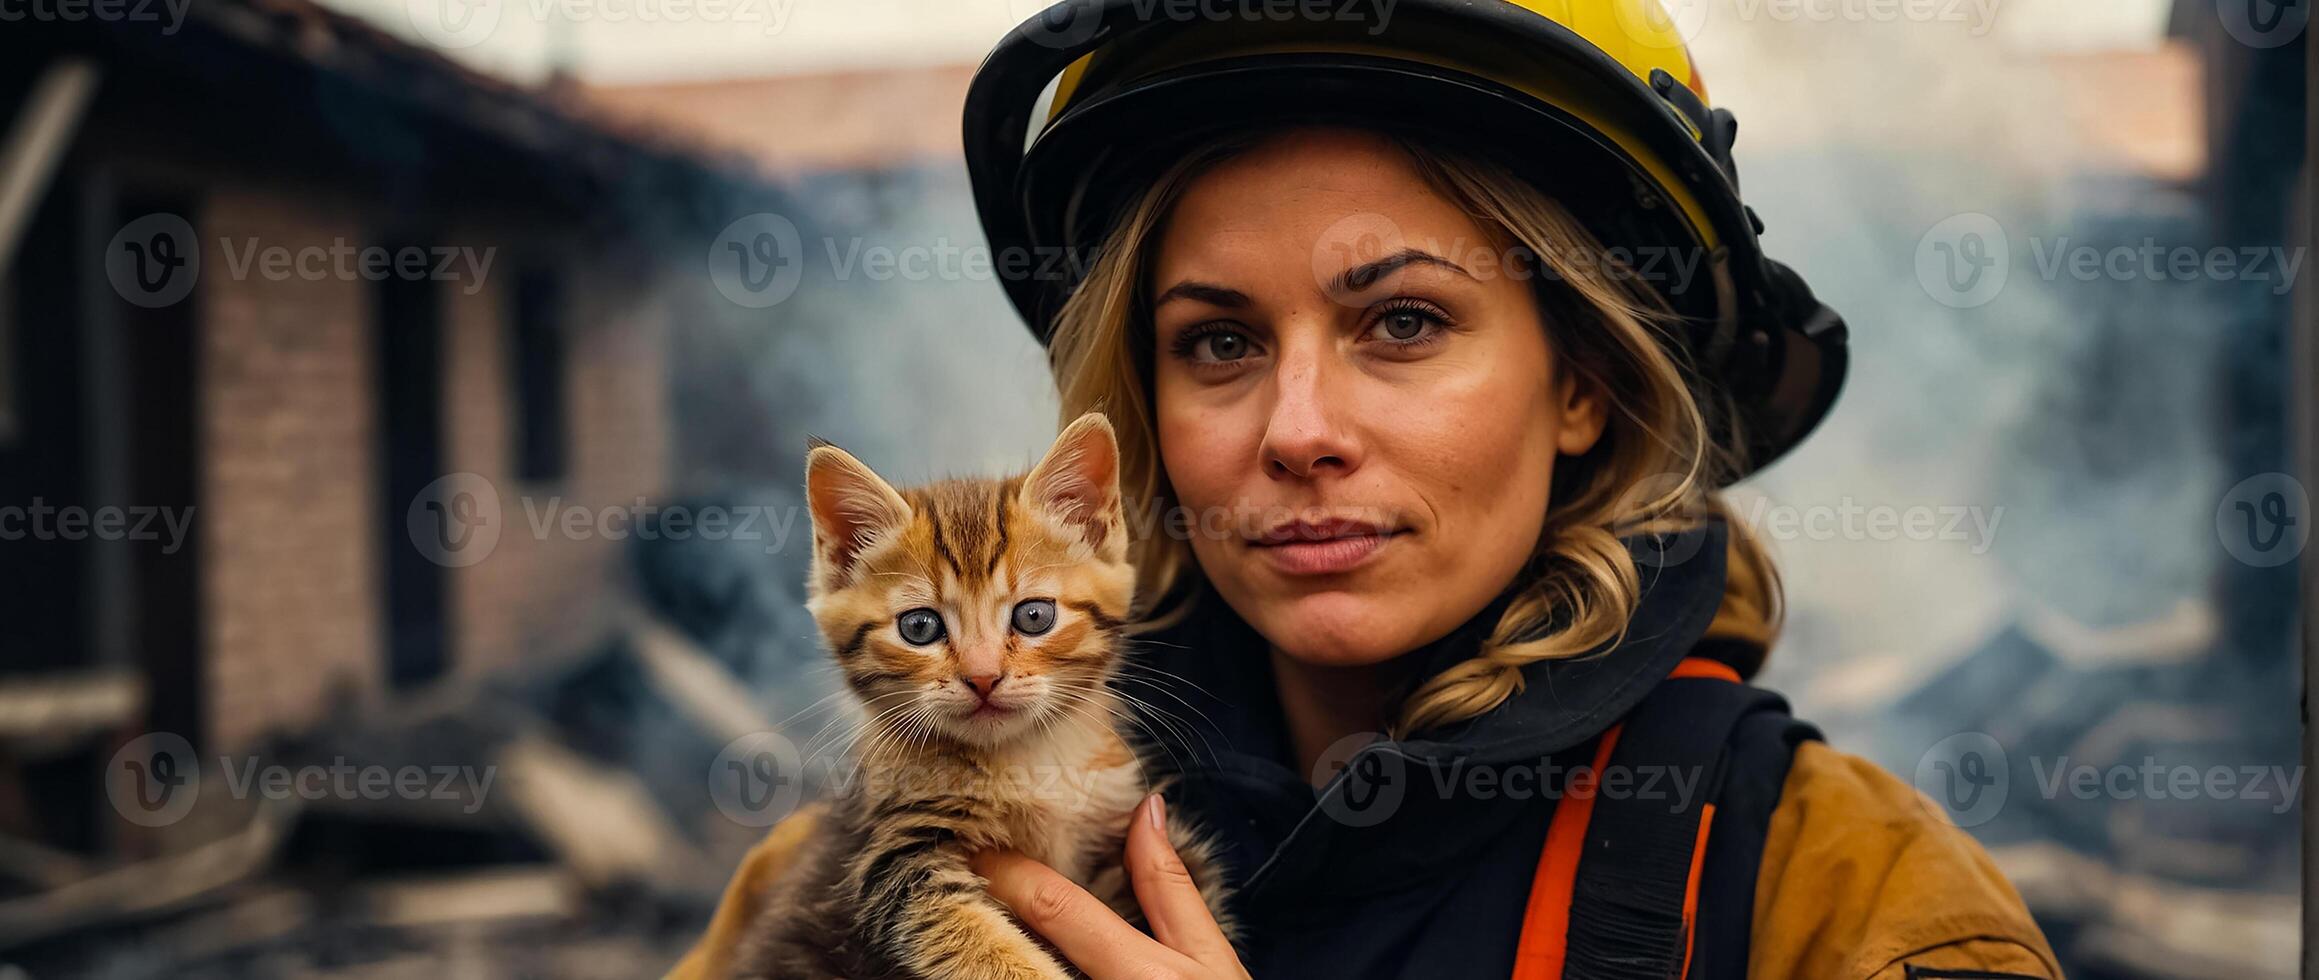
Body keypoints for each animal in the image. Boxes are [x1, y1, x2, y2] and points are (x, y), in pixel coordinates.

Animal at [732, 414, 1242, 980]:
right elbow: (966, 937)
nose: (982, 676)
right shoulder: (894, 853)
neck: (1024, 760)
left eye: (1034, 616)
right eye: (919, 627)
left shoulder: (1120, 828)